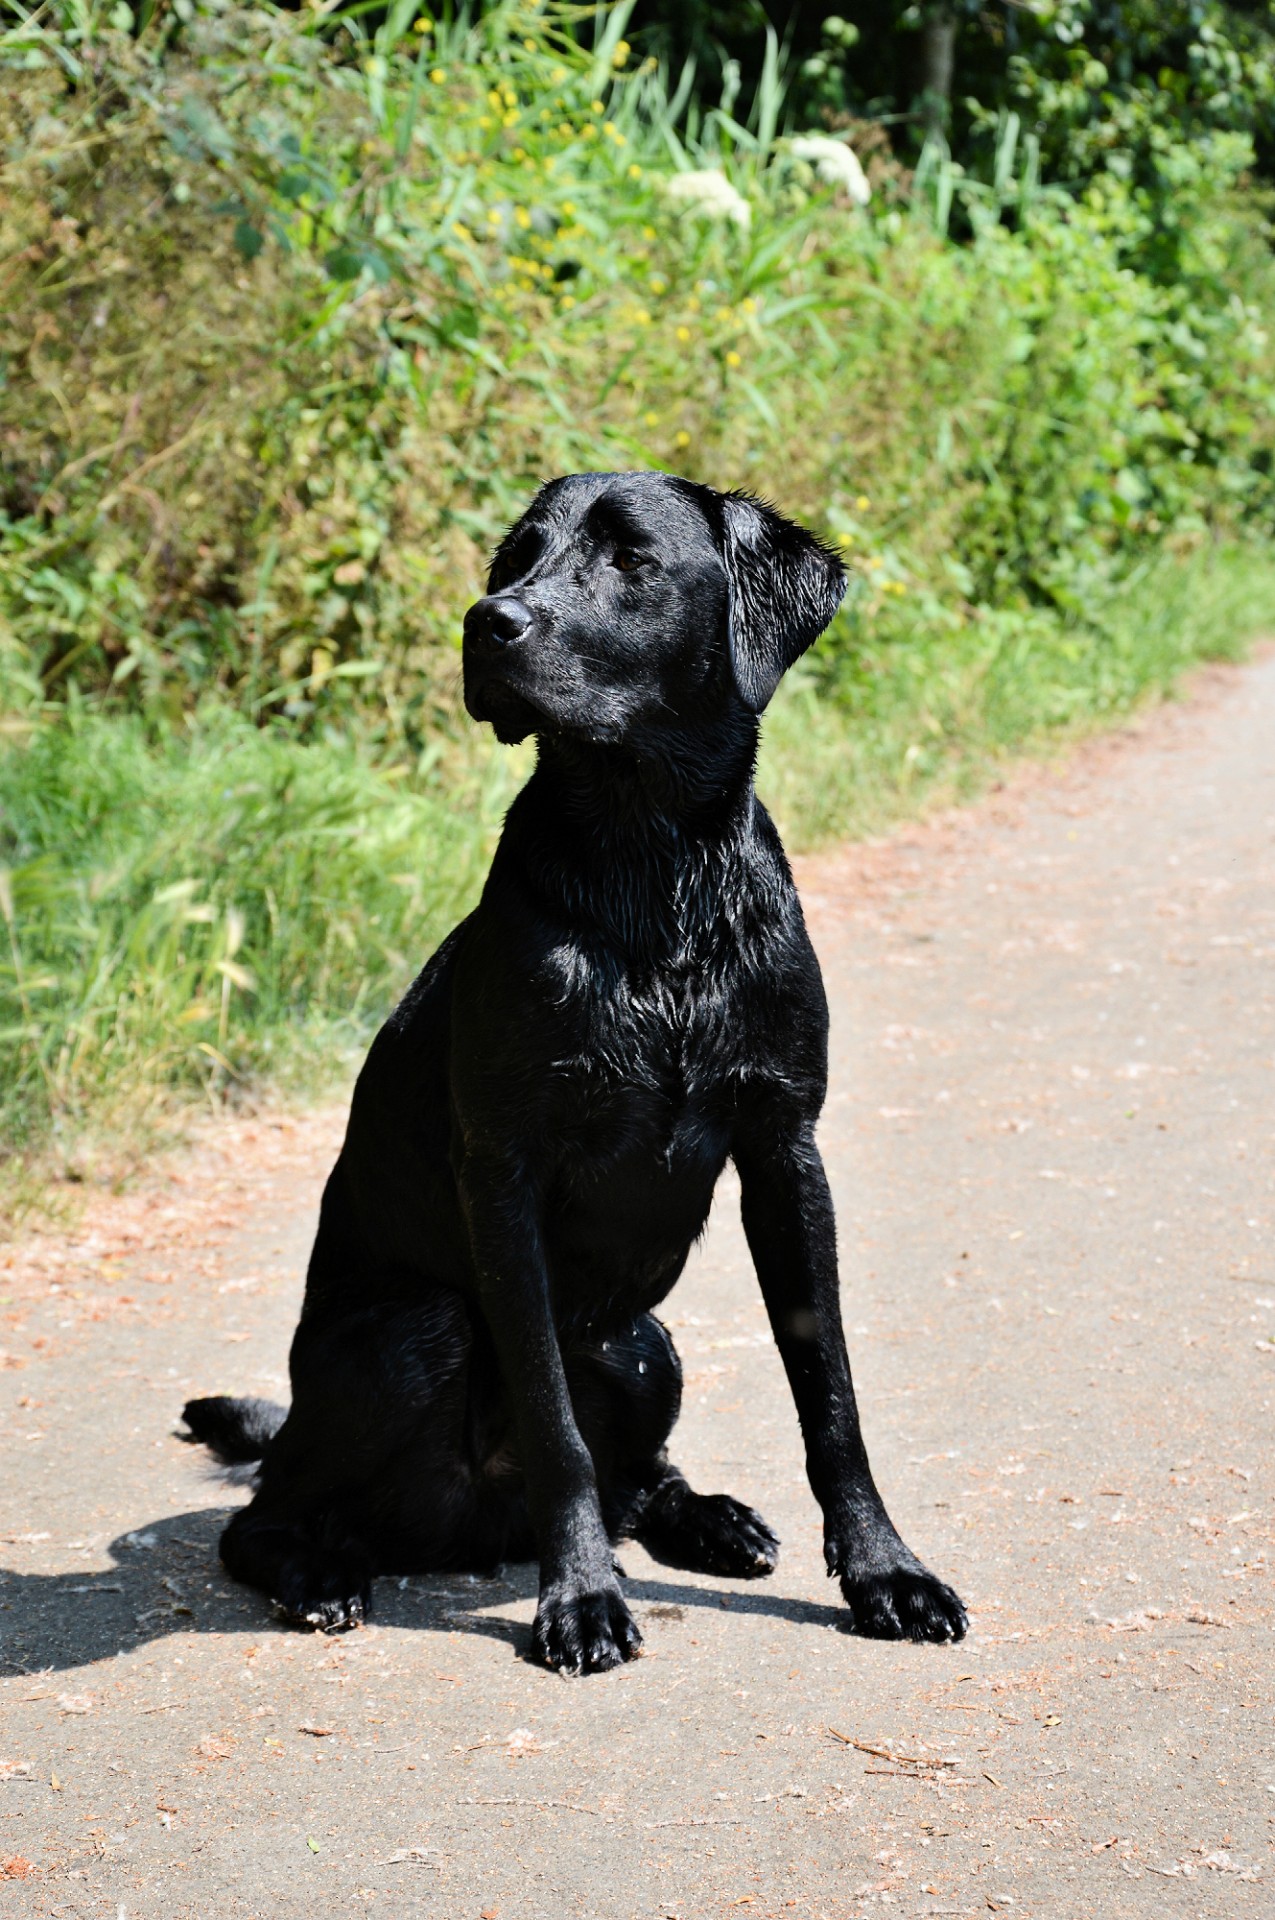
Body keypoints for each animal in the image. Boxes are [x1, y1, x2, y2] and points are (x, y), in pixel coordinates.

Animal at [184, 472, 967, 1674]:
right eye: (514, 558)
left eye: (630, 560)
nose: (485, 623)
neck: (656, 871)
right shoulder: (505, 1177)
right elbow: (557, 1431)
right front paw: (582, 1599)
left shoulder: (786, 1150)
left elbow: (829, 1394)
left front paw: (887, 1572)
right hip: (414, 1334)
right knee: (268, 1514)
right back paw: (321, 1574)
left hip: (646, 1348)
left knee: (641, 1477)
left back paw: (708, 1519)